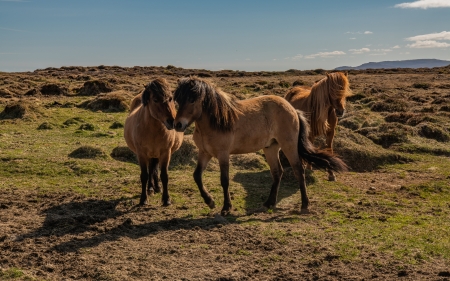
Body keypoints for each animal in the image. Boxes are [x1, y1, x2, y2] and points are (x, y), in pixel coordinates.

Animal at [123, 77, 183, 205]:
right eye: (155, 100)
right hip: (150, 154)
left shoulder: (165, 153)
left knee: (153, 169)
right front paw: (143, 199)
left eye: (171, 98)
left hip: (155, 154)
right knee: (151, 170)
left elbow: (164, 175)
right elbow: (144, 175)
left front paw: (166, 199)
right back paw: (150, 188)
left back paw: (157, 187)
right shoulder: (141, 154)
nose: (172, 122)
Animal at [173, 76, 348, 214]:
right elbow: (197, 175)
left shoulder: (223, 155)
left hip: (289, 145)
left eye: (192, 99)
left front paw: (226, 207)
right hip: (271, 148)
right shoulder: (204, 153)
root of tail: (292, 109)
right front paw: (210, 201)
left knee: (299, 170)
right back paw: (269, 203)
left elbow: (224, 180)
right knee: (277, 172)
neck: (218, 121)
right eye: (178, 100)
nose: (178, 125)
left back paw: (304, 205)